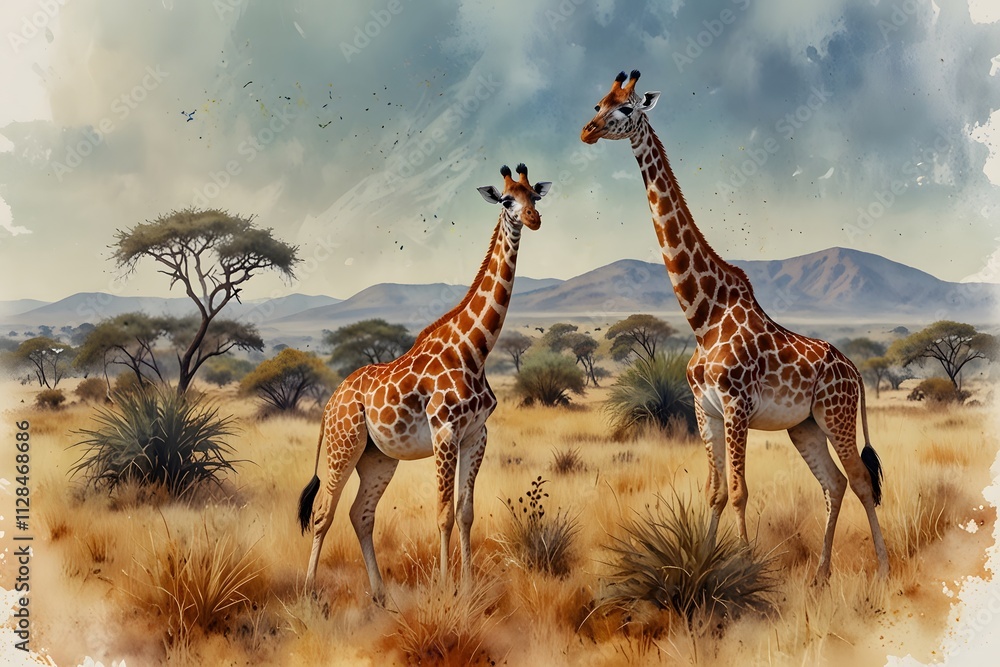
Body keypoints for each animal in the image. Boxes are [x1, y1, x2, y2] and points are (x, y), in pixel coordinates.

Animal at [297, 164, 551, 603]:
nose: (534, 220)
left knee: (360, 514)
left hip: (378, 457)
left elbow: (466, 513)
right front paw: (447, 589)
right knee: (323, 512)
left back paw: (380, 595)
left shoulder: (476, 434)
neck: (475, 348)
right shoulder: (444, 430)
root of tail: (330, 403)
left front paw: (468, 587)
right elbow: (444, 514)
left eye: (535, 195)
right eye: (507, 200)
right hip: (343, 445)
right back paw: (311, 592)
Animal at [581, 70, 889, 582]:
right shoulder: (705, 409)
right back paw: (821, 573)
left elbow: (742, 492)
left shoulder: (736, 406)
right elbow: (717, 491)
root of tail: (856, 370)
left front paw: (746, 570)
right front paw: (705, 565)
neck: (703, 316)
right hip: (804, 426)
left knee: (862, 479)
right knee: (835, 483)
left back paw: (884, 568)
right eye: (598, 102)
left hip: (836, 415)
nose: (587, 131)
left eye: (624, 108)